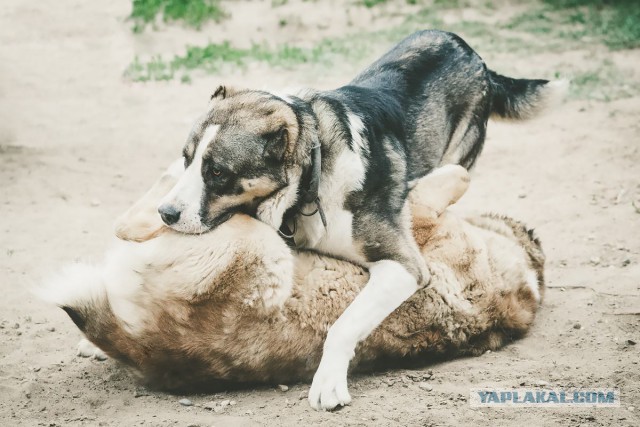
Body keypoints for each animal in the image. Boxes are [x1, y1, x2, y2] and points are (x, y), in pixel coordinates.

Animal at [40, 163, 544, 394]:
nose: (528, 229)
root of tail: (143, 346)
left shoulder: (418, 224)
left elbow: (454, 176)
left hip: (249, 237)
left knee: (138, 221)